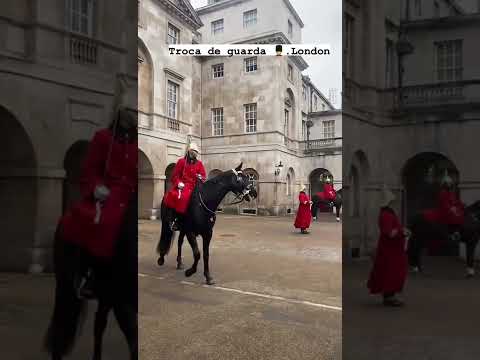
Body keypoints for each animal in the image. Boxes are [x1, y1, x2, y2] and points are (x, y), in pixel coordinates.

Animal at [44, 193, 138, 358]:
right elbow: (133, 337)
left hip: (104, 294)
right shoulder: (122, 302)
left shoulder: (115, 297)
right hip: (66, 285)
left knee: (98, 324)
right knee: (62, 322)